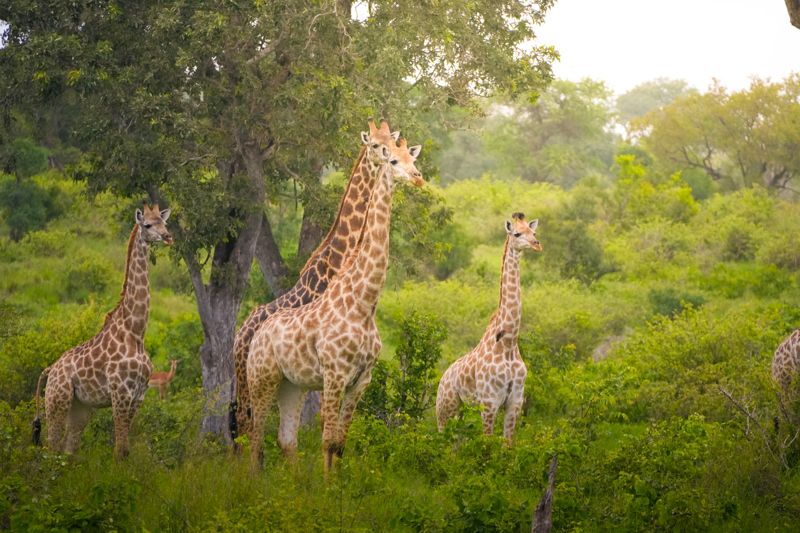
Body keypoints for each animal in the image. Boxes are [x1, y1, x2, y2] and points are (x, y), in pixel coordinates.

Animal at [31, 202, 172, 460]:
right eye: (148, 224)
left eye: (164, 222)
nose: (168, 237)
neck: (136, 332)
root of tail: (49, 370)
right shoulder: (120, 392)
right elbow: (119, 450)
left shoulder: (139, 395)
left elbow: (125, 450)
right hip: (57, 401)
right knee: (51, 447)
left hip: (82, 407)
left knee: (68, 449)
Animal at [247, 138, 423, 472]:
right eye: (393, 161)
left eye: (413, 159)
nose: (418, 177)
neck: (364, 303)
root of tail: (256, 334)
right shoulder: (335, 373)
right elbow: (327, 441)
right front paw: (327, 486)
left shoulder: (361, 380)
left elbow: (340, 444)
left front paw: (336, 485)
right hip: (261, 378)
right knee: (253, 436)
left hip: (292, 385)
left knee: (285, 439)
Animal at [436, 212, 541, 444]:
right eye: (517, 233)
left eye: (533, 232)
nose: (537, 244)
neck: (508, 342)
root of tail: (442, 379)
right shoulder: (489, 402)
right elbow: (487, 446)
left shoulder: (515, 403)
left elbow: (507, 445)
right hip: (445, 411)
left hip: (463, 412)